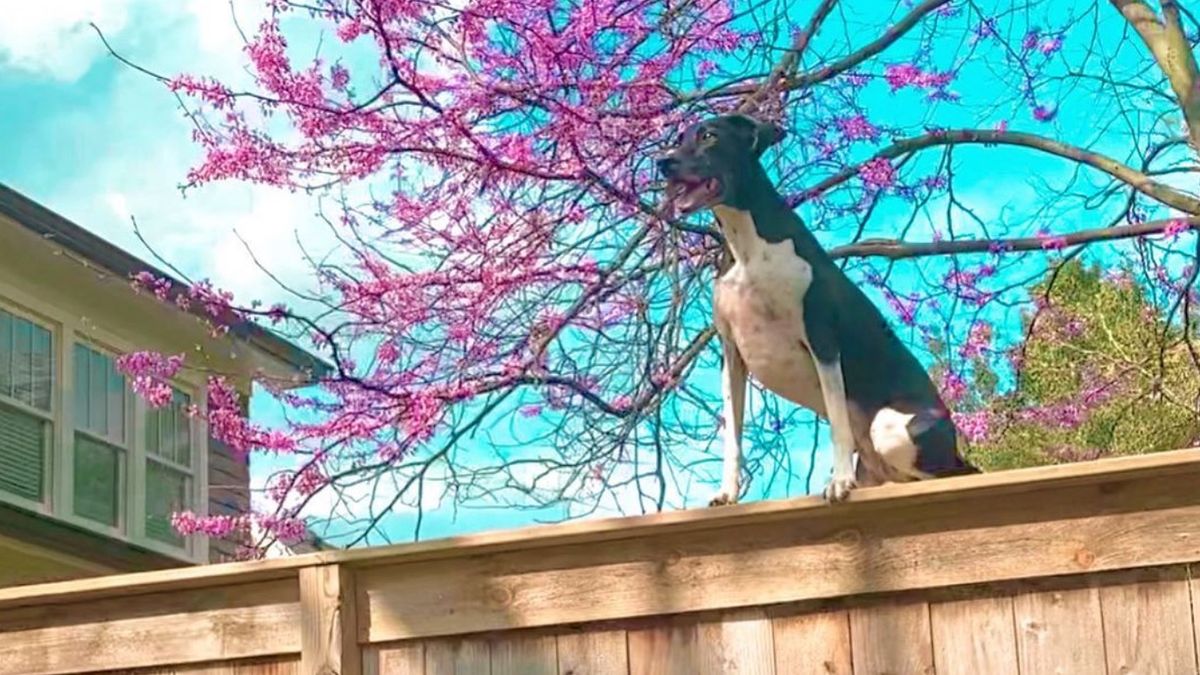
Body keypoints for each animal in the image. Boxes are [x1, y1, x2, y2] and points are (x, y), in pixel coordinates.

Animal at [657, 112, 984, 502]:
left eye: (709, 136)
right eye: (679, 138)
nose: (663, 162)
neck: (750, 249)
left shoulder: (822, 340)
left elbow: (837, 423)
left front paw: (839, 481)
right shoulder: (733, 355)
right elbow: (733, 437)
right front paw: (727, 493)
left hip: (892, 428)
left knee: (953, 473)